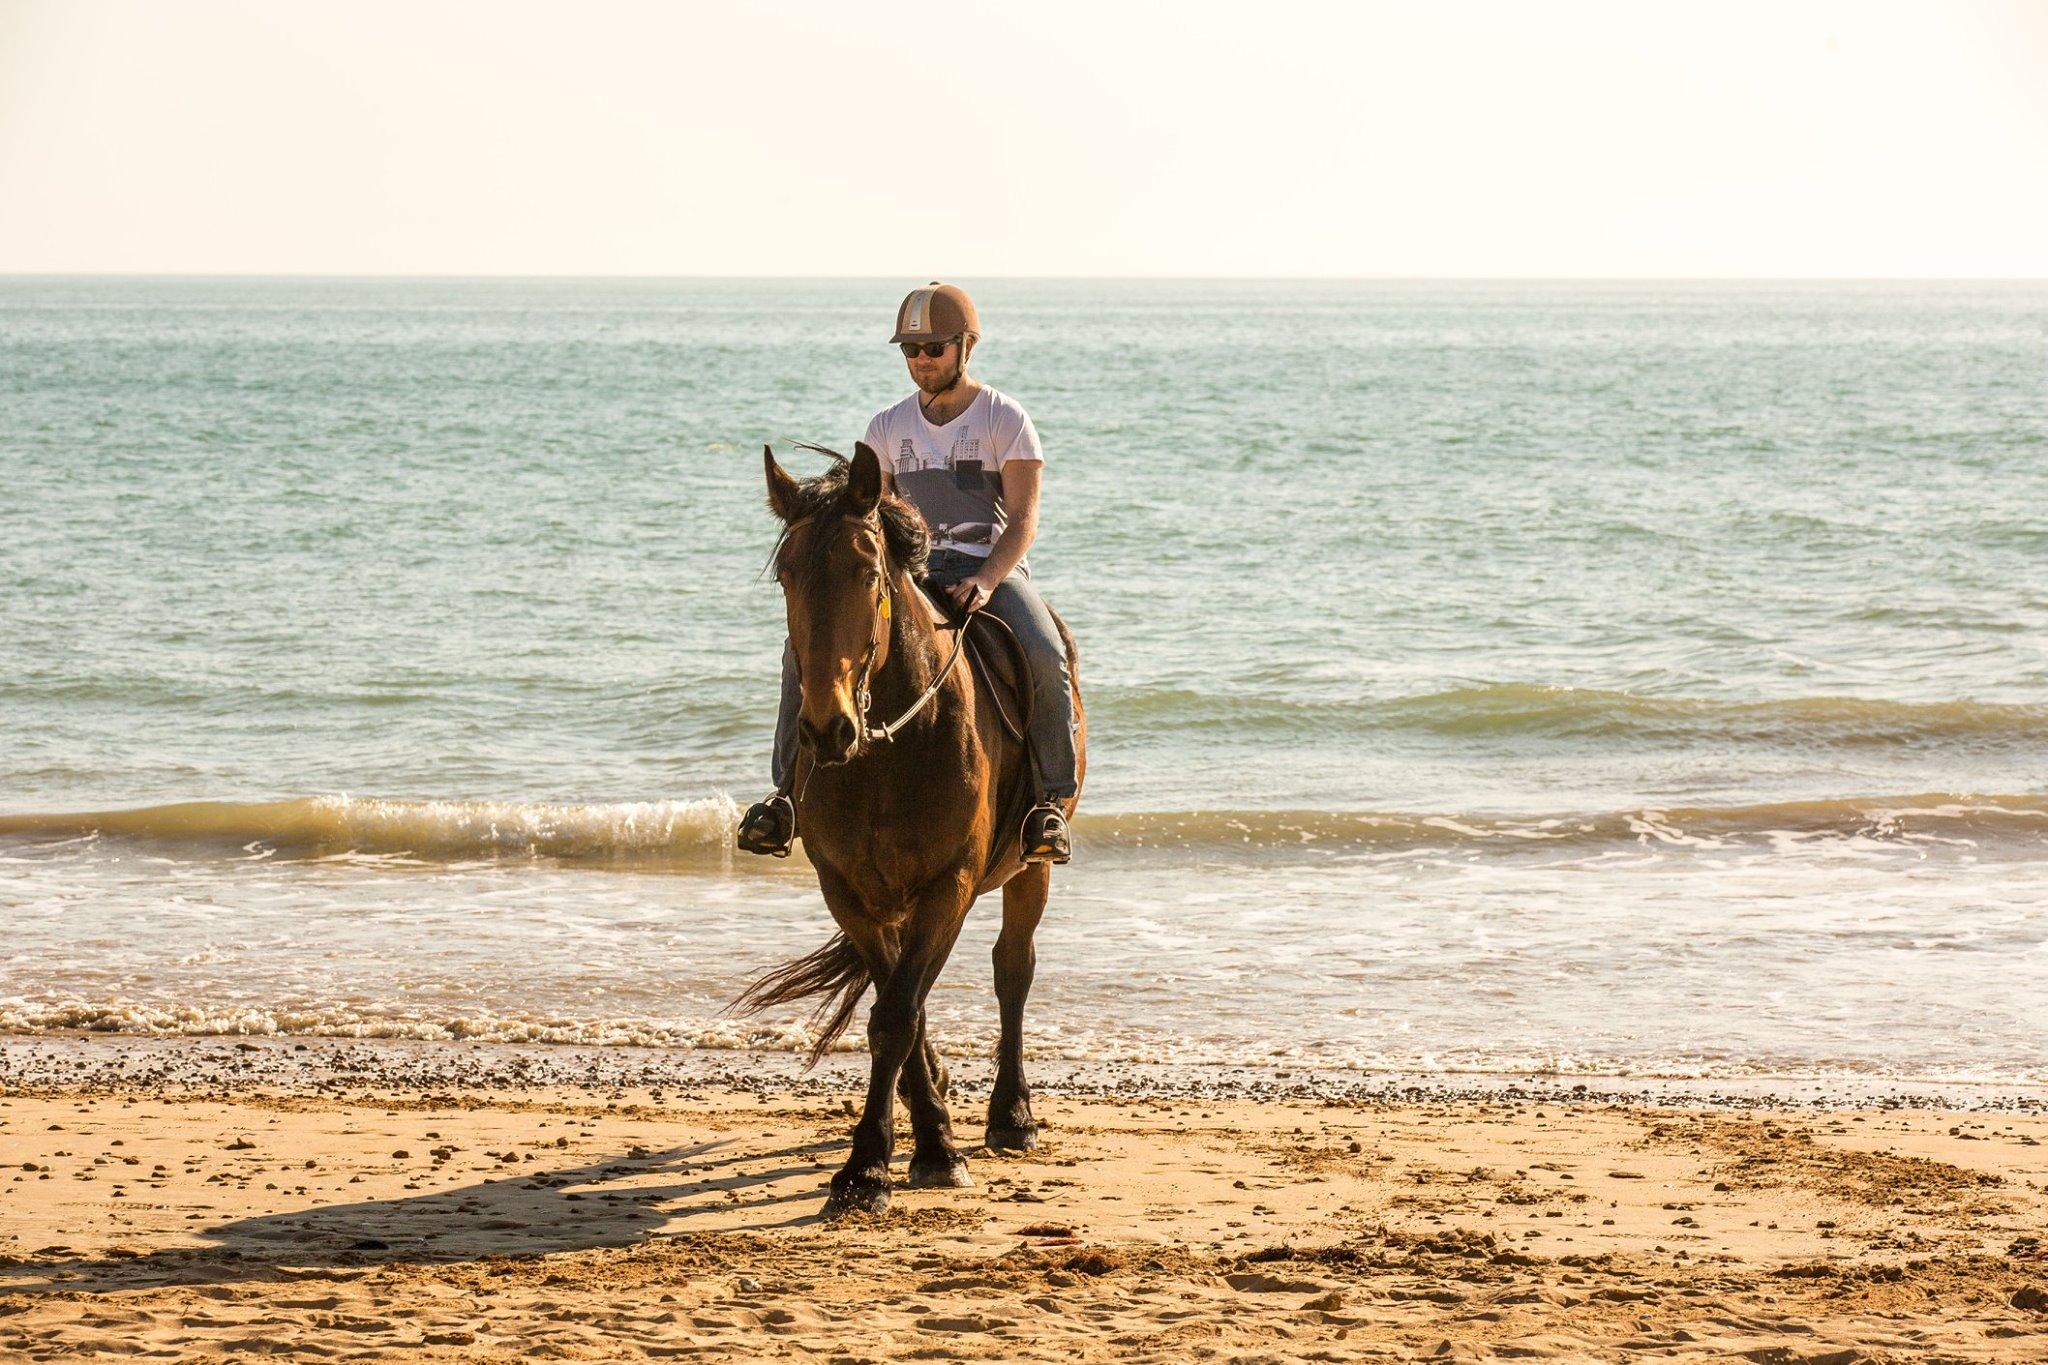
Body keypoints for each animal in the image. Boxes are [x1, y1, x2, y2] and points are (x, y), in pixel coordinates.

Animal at [734, 441, 1086, 1218]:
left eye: (867, 571)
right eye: (786, 574)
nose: (825, 729)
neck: (888, 748)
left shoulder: (946, 885)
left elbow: (899, 1011)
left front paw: (877, 1164)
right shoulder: (848, 891)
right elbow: (902, 1007)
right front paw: (919, 1139)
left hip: (1029, 867)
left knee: (1013, 967)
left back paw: (1012, 1115)